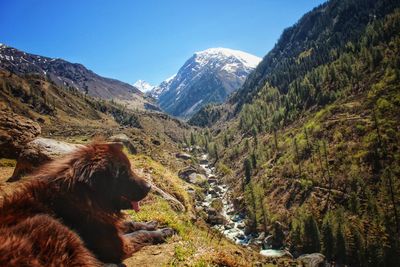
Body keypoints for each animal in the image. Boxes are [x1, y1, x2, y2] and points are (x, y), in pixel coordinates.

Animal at [0, 142, 175, 266]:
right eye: (124, 172)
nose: (149, 187)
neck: (80, 197)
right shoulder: (116, 246)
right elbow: (141, 234)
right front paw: (162, 232)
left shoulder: (105, 222)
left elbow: (130, 224)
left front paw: (149, 224)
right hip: (48, 226)